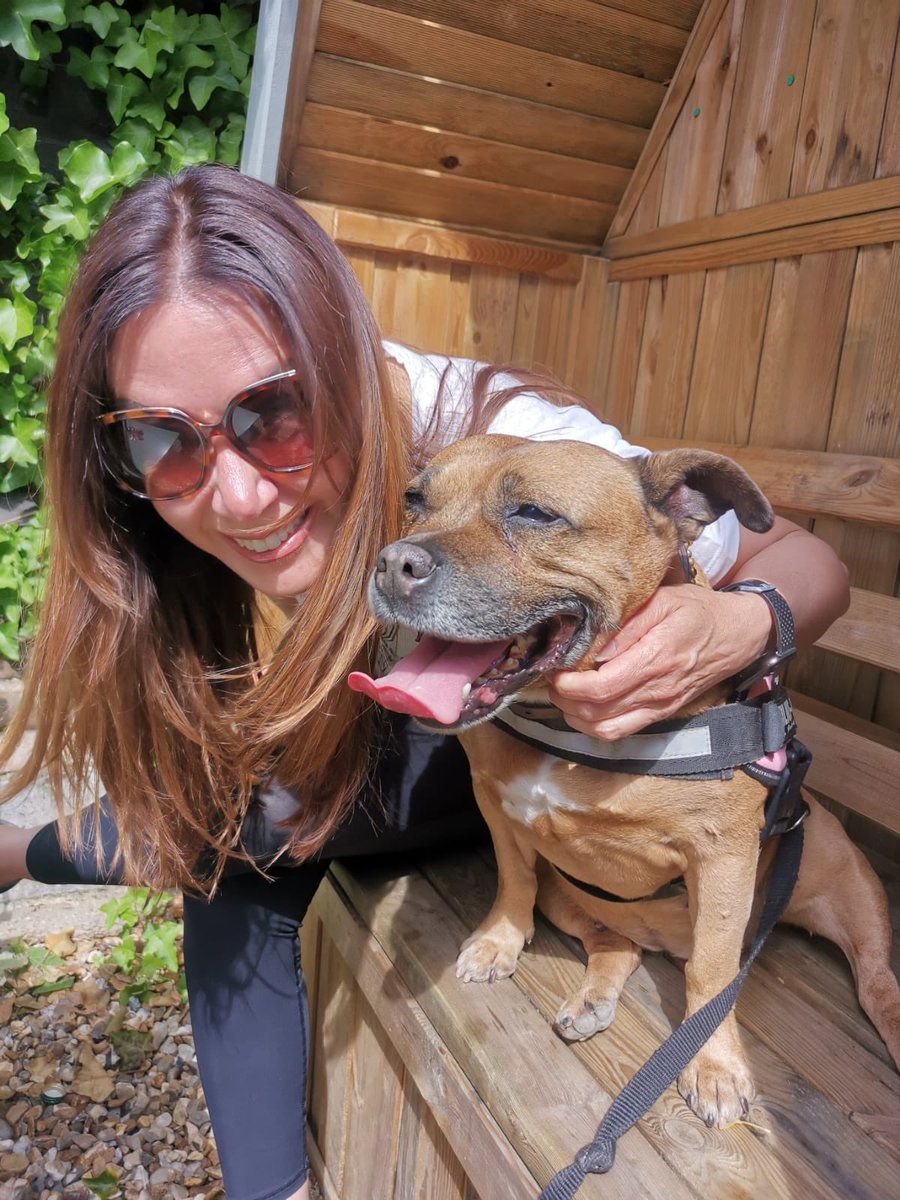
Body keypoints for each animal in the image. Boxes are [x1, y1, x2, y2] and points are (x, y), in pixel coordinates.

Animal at [350, 436, 900, 1128]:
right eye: (415, 499)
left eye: (534, 513)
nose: (393, 561)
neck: (561, 723)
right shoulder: (496, 806)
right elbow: (512, 877)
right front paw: (498, 941)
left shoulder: (722, 858)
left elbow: (713, 971)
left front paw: (714, 1064)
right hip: (570, 895)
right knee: (615, 942)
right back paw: (594, 998)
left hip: (848, 886)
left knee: (876, 980)